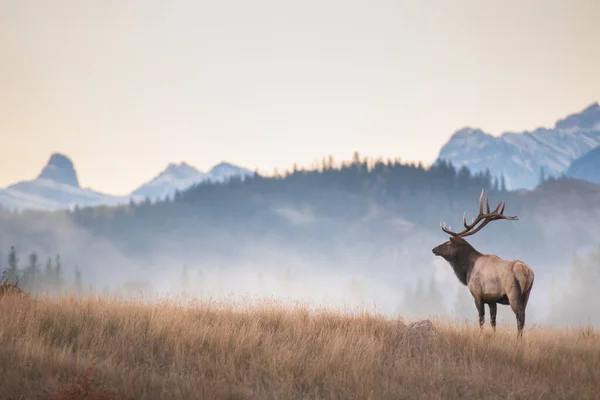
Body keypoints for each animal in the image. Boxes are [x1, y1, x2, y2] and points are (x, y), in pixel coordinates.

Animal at [432, 190, 536, 338]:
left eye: (448, 243)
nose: (434, 249)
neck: (467, 270)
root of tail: (527, 271)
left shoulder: (477, 294)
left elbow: (481, 319)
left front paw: (480, 335)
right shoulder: (492, 299)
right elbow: (493, 321)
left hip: (513, 293)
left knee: (519, 317)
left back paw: (518, 339)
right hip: (527, 294)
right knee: (523, 317)